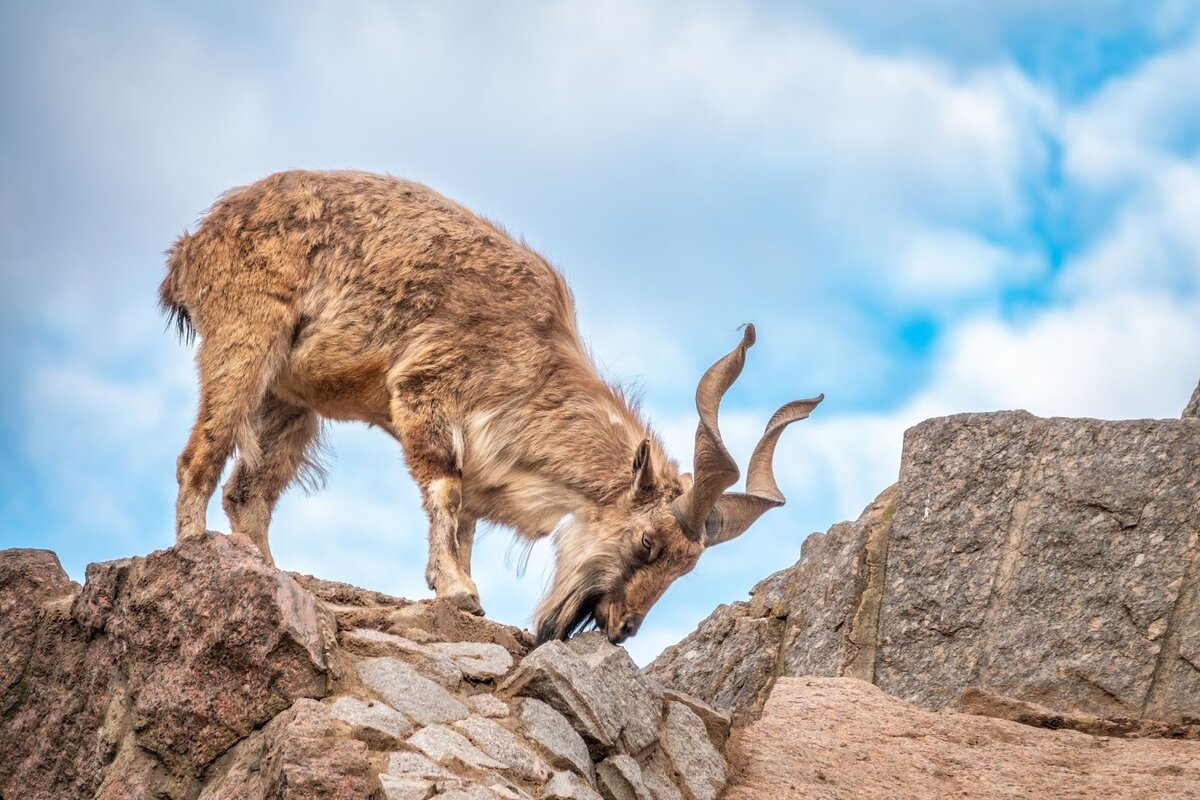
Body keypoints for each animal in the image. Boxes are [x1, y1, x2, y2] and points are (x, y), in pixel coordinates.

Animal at [159, 170, 820, 642]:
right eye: (647, 546)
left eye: (685, 569)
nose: (621, 630)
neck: (533, 349)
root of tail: (191, 246)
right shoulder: (427, 390)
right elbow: (445, 493)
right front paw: (458, 591)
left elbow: (466, 524)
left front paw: (464, 590)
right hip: (246, 336)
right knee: (200, 454)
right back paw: (194, 548)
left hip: (288, 400)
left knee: (248, 491)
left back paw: (271, 570)